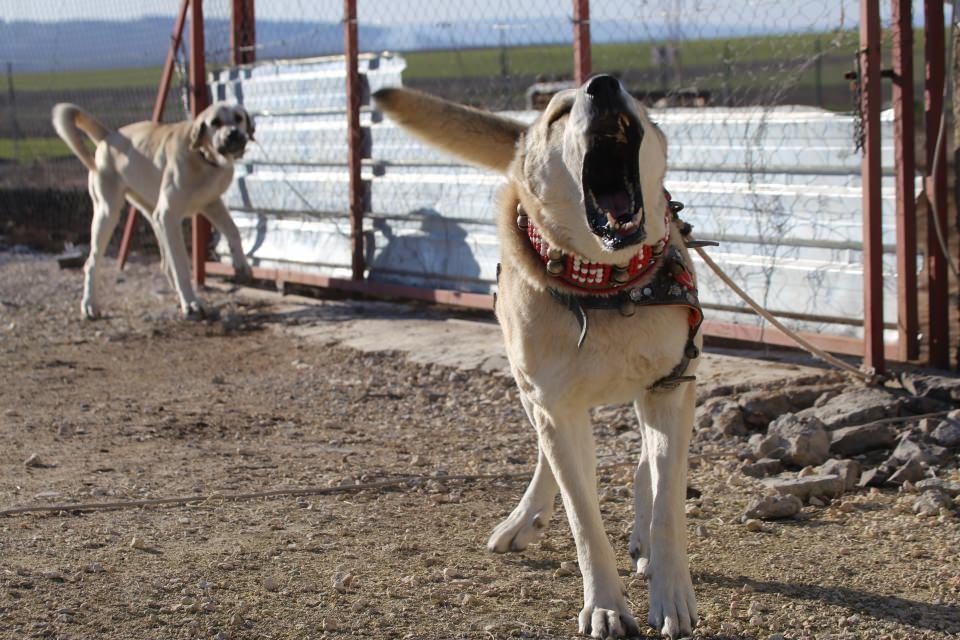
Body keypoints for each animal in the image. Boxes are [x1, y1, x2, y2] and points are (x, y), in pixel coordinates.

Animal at [51, 101, 255, 318]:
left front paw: (241, 263)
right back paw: (89, 304)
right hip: (108, 214)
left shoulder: (211, 204)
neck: (201, 157)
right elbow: (181, 264)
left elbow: (233, 230)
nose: (233, 134)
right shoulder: (169, 214)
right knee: (91, 263)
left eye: (238, 118)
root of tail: (108, 136)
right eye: (215, 122)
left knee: (165, 263)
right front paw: (191, 302)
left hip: (154, 218)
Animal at [376, 76, 704, 640]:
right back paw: (524, 518)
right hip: (532, 391)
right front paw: (606, 606)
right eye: (561, 113)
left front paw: (671, 594)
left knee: (647, 462)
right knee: (556, 461)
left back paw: (641, 540)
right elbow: (582, 516)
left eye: (632, 94)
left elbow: (667, 504)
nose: (603, 85)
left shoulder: (670, 386)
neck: (607, 285)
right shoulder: (554, 404)